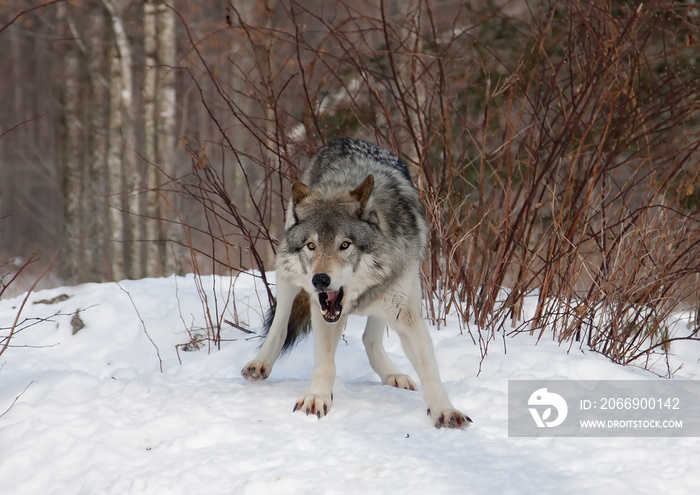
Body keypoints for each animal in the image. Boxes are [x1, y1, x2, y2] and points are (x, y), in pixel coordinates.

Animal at [241, 138, 470, 428]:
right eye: (311, 246)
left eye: (345, 245)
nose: (320, 280)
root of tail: (344, 140)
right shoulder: (323, 312)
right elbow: (325, 363)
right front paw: (317, 397)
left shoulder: (406, 316)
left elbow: (429, 371)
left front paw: (445, 411)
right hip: (287, 277)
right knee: (279, 326)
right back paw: (260, 364)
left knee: (369, 338)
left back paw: (393, 375)